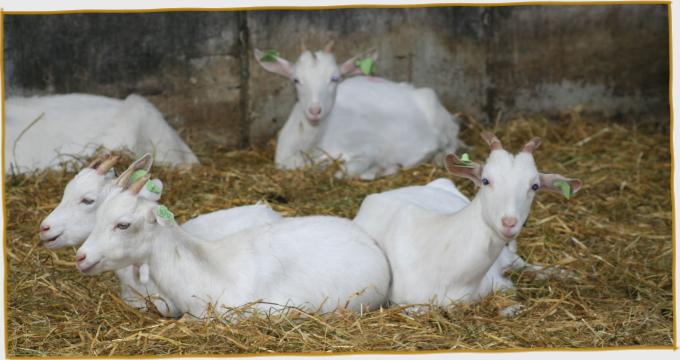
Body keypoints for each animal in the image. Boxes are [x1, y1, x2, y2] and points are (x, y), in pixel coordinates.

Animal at [255, 41, 462, 180]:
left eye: (335, 78)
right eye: (296, 80)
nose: (314, 110)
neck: (310, 149)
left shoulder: (368, 147)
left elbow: (344, 171)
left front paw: (379, 169)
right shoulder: (282, 159)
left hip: (437, 111)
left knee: (452, 141)